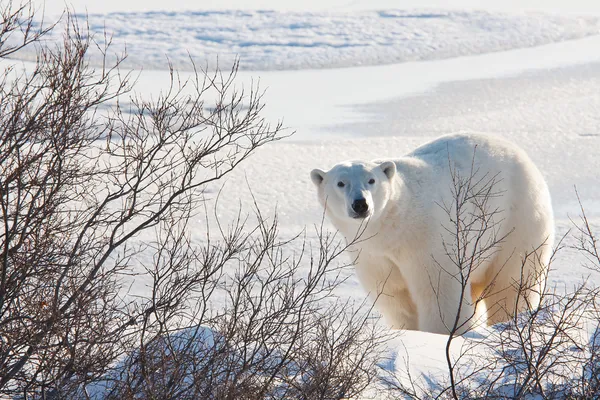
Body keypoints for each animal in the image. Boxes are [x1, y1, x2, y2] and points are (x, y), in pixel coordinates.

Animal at [312, 134, 556, 334]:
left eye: (371, 180)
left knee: (512, 281)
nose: (361, 204)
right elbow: (396, 296)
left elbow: (439, 291)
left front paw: (443, 334)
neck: (393, 225)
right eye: (340, 183)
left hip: (517, 218)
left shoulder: (427, 239)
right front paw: (409, 332)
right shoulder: (372, 254)